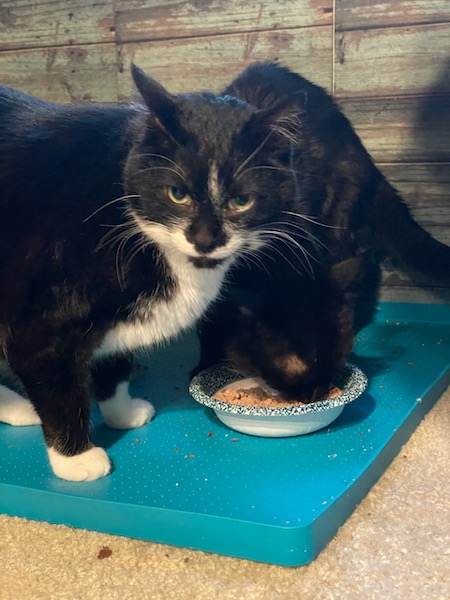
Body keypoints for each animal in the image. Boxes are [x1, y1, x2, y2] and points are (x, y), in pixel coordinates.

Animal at [0, 63, 306, 480]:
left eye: (241, 200)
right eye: (177, 194)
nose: (205, 239)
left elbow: (114, 362)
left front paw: (122, 412)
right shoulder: (40, 324)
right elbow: (56, 384)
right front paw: (76, 458)